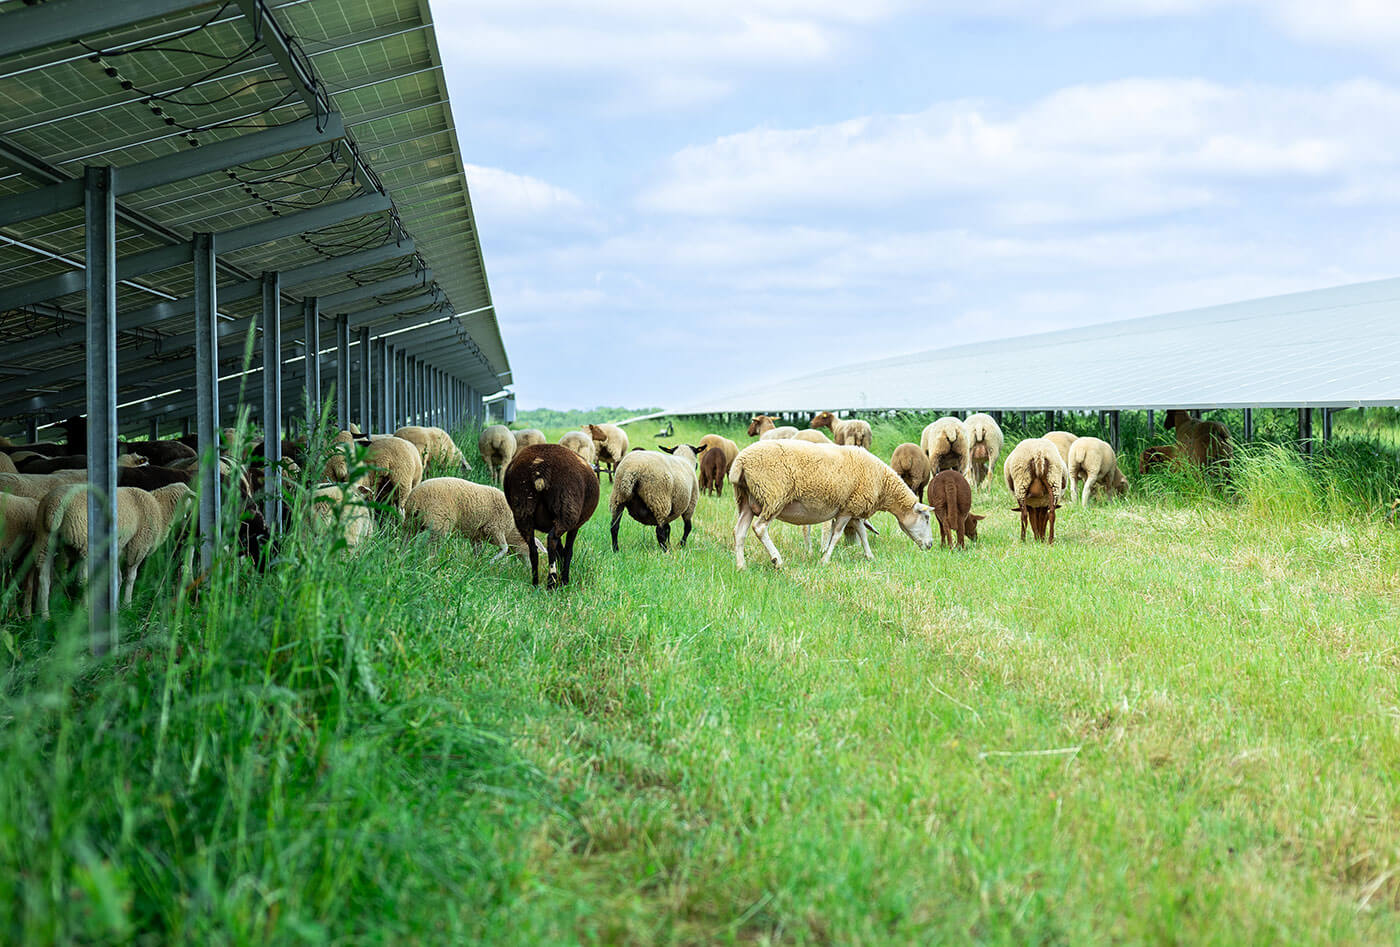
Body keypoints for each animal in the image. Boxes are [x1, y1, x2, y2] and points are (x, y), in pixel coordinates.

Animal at [408, 476, 537, 557]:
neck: (512, 530)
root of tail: (416, 499)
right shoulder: (495, 528)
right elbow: (504, 548)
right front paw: (491, 562)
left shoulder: (476, 537)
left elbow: (478, 552)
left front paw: (477, 564)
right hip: (438, 525)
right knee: (432, 548)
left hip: (411, 523)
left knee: (406, 541)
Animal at [504, 442, 596, 588]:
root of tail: (540, 467)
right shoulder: (575, 526)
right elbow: (567, 551)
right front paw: (564, 580)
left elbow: (560, 550)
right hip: (566, 509)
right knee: (552, 540)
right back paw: (551, 582)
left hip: (523, 508)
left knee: (533, 549)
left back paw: (535, 583)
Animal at [728, 437, 935, 565]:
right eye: (926, 518)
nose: (931, 545)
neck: (883, 485)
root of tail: (740, 463)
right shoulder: (847, 510)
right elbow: (836, 535)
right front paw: (825, 560)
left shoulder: (855, 509)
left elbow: (862, 534)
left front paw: (870, 557)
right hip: (773, 496)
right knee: (760, 528)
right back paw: (777, 561)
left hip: (746, 500)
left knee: (739, 531)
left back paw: (741, 566)